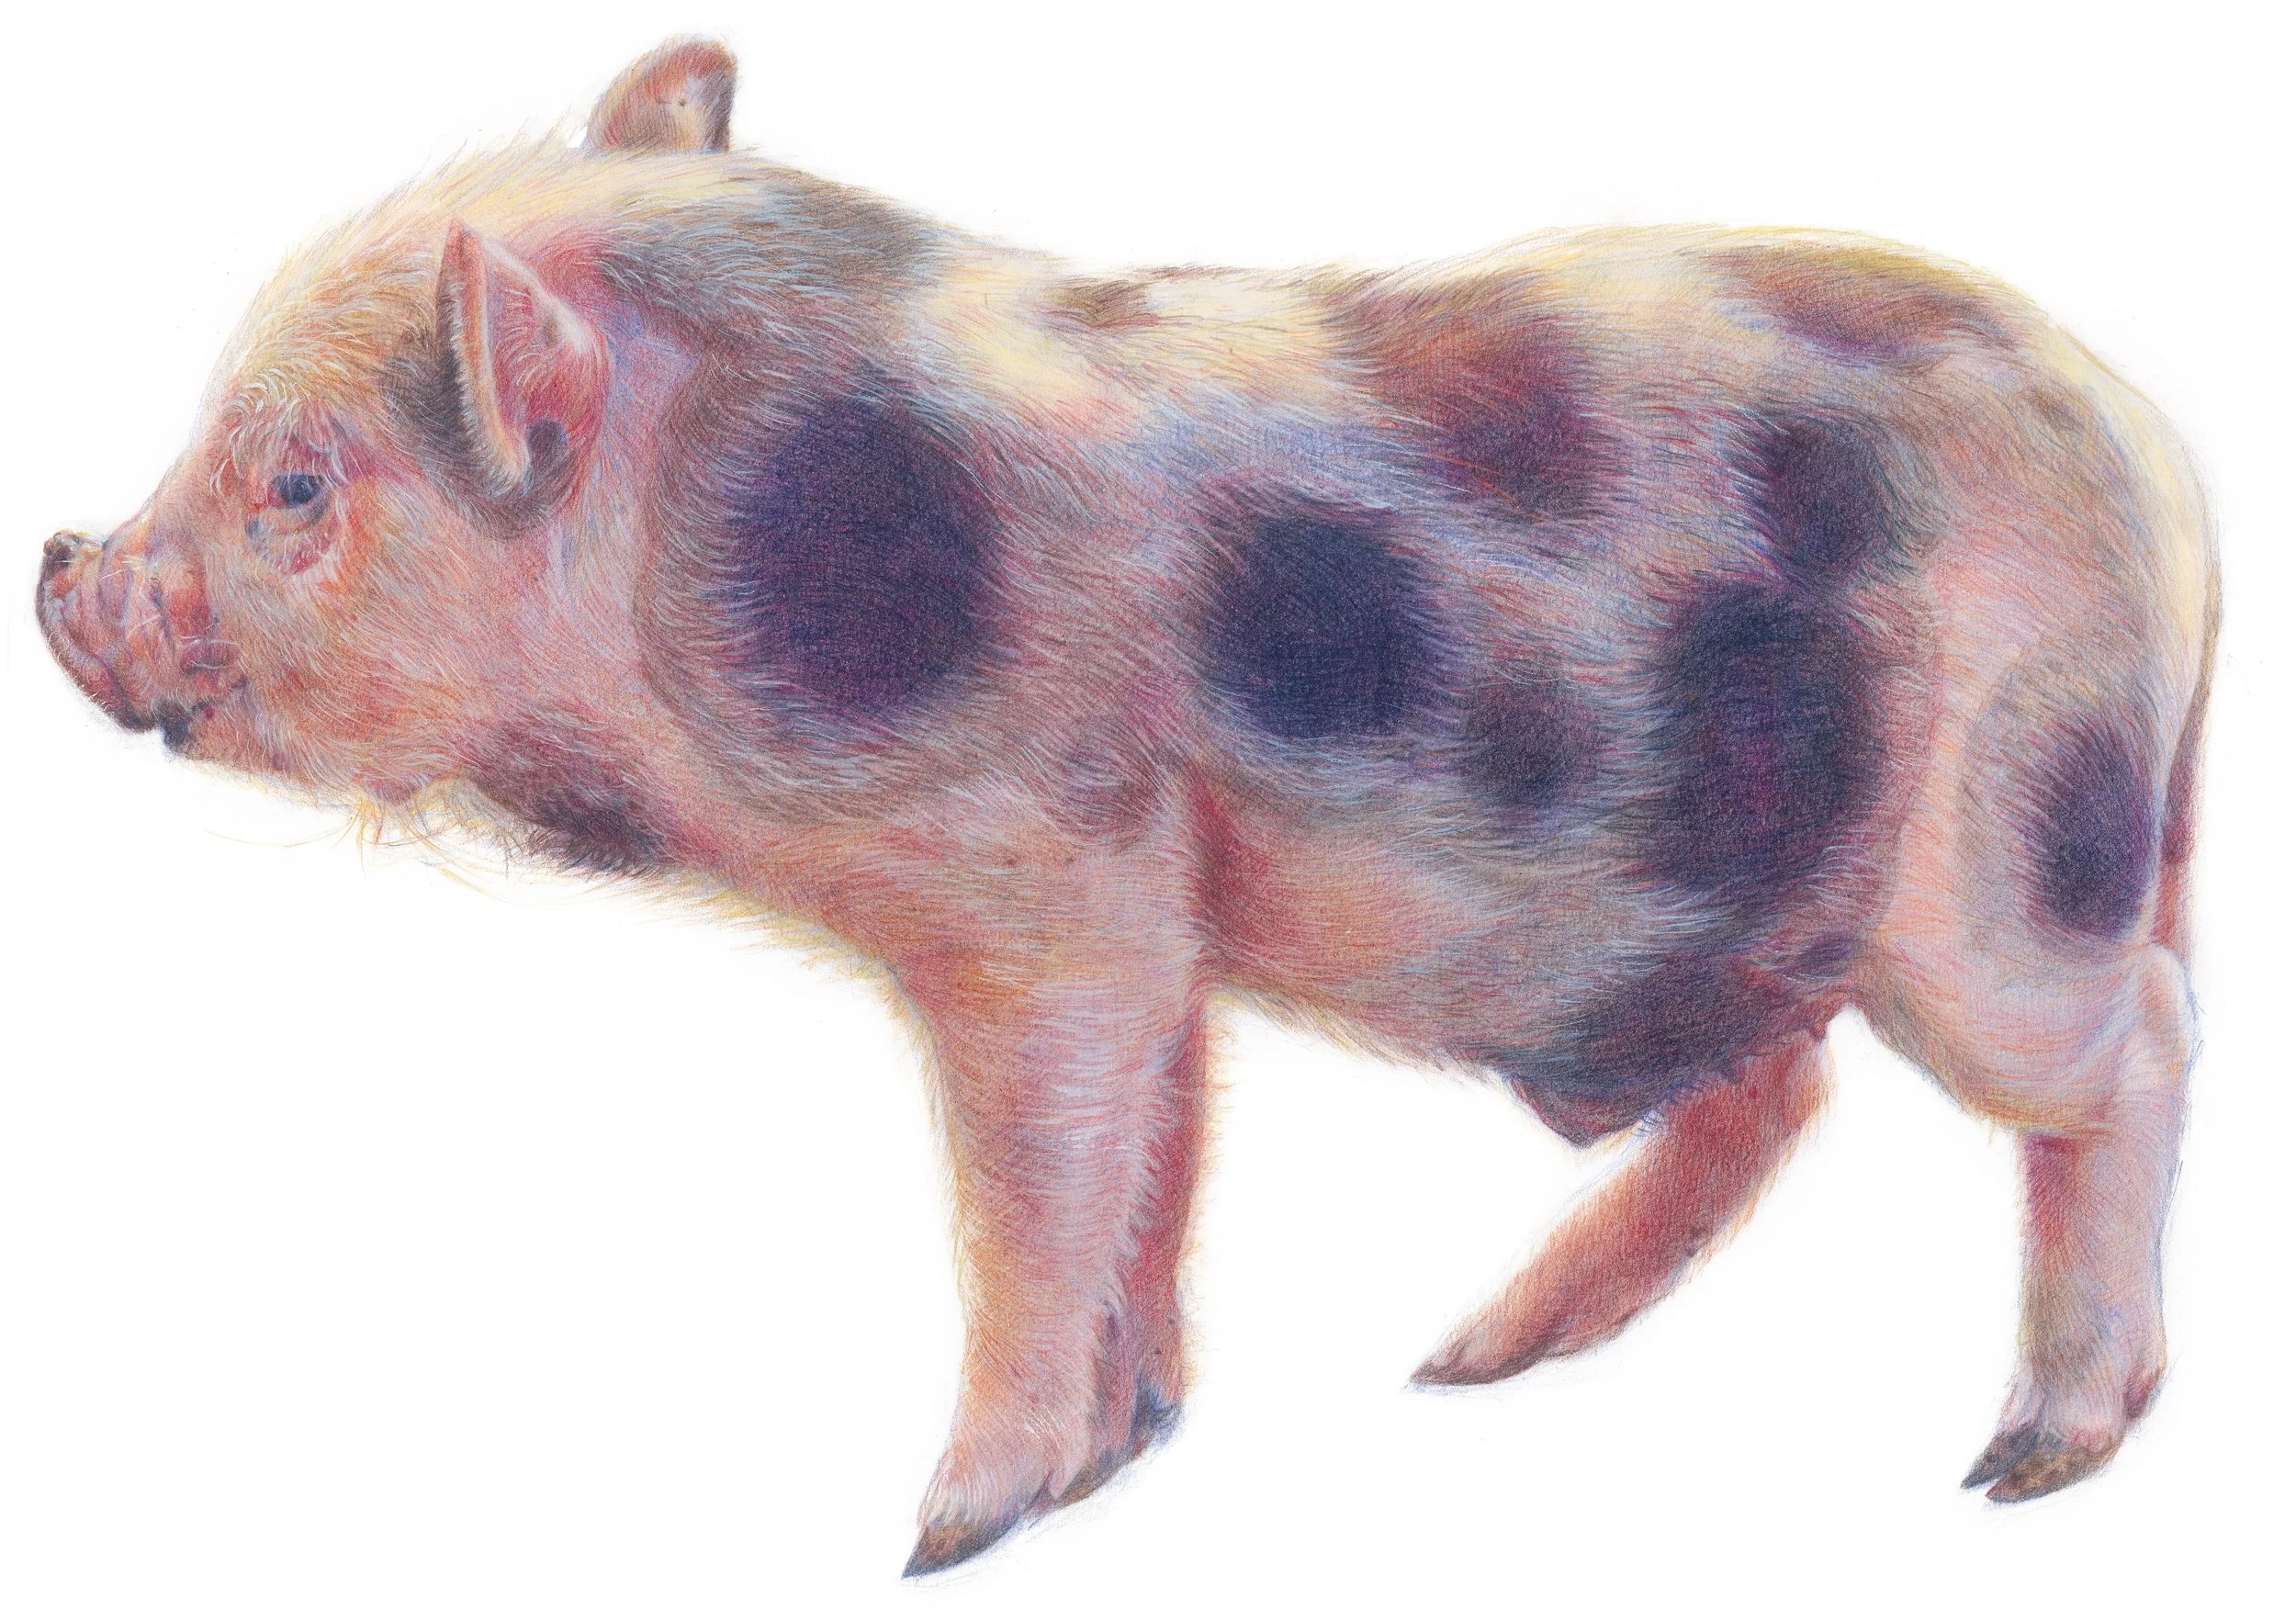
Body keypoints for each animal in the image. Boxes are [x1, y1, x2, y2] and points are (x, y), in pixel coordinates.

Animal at [35, 37, 2216, 1574]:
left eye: (295, 482)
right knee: (1778, 1087)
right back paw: (1467, 1360)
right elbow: (1152, 1159)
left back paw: (2022, 1465)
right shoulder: (1149, 917)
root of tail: (2168, 483)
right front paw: (1127, 1449)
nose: (56, 568)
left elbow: (1029, 1188)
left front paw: (941, 1533)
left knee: (2136, 1045)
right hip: (1712, 901)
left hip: (2002, 854)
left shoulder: (1040, 890)